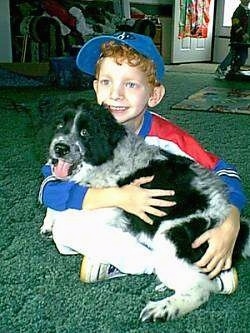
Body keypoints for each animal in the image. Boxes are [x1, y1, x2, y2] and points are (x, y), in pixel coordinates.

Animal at [41, 99, 250, 322]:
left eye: (85, 133)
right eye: (58, 124)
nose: (60, 148)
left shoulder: (105, 210)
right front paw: (48, 222)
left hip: (171, 236)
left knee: (200, 289)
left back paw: (162, 309)